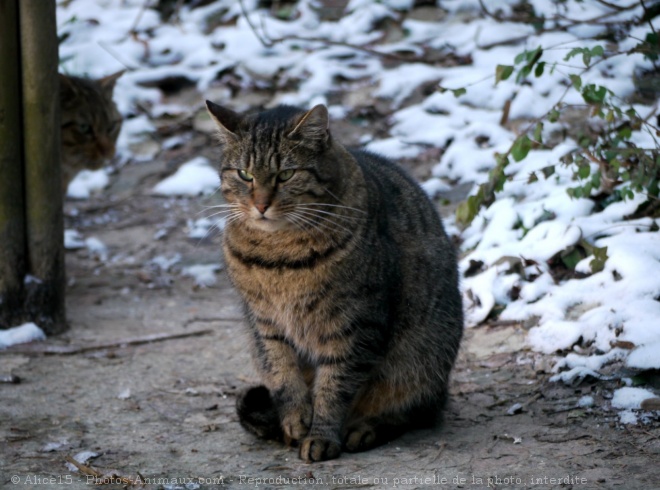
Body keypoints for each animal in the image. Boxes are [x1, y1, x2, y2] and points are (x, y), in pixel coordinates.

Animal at [208, 101, 464, 462]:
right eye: (245, 175)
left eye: (286, 174)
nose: (260, 205)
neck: (279, 258)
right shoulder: (266, 324)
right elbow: (285, 377)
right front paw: (296, 422)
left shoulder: (355, 324)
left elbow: (334, 386)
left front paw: (322, 436)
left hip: (422, 360)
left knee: (416, 410)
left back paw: (365, 429)